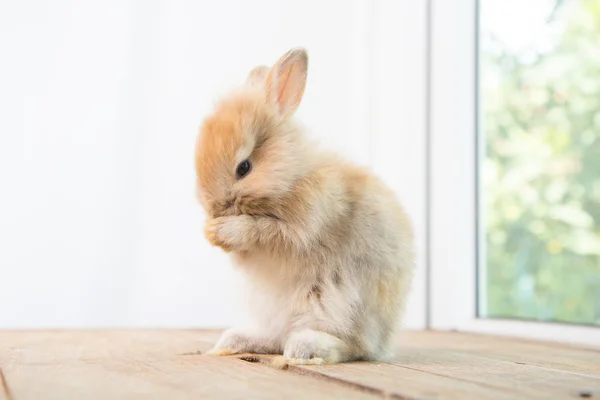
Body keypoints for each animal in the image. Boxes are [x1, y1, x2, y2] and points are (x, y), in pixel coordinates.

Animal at [195, 47, 414, 366]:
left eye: (244, 167)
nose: (214, 209)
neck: (291, 176)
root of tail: (383, 342)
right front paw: (212, 231)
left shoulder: (304, 226)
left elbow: (266, 233)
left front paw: (226, 230)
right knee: (278, 337)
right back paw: (237, 340)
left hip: (337, 305)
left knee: (353, 346)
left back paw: (305, 348)